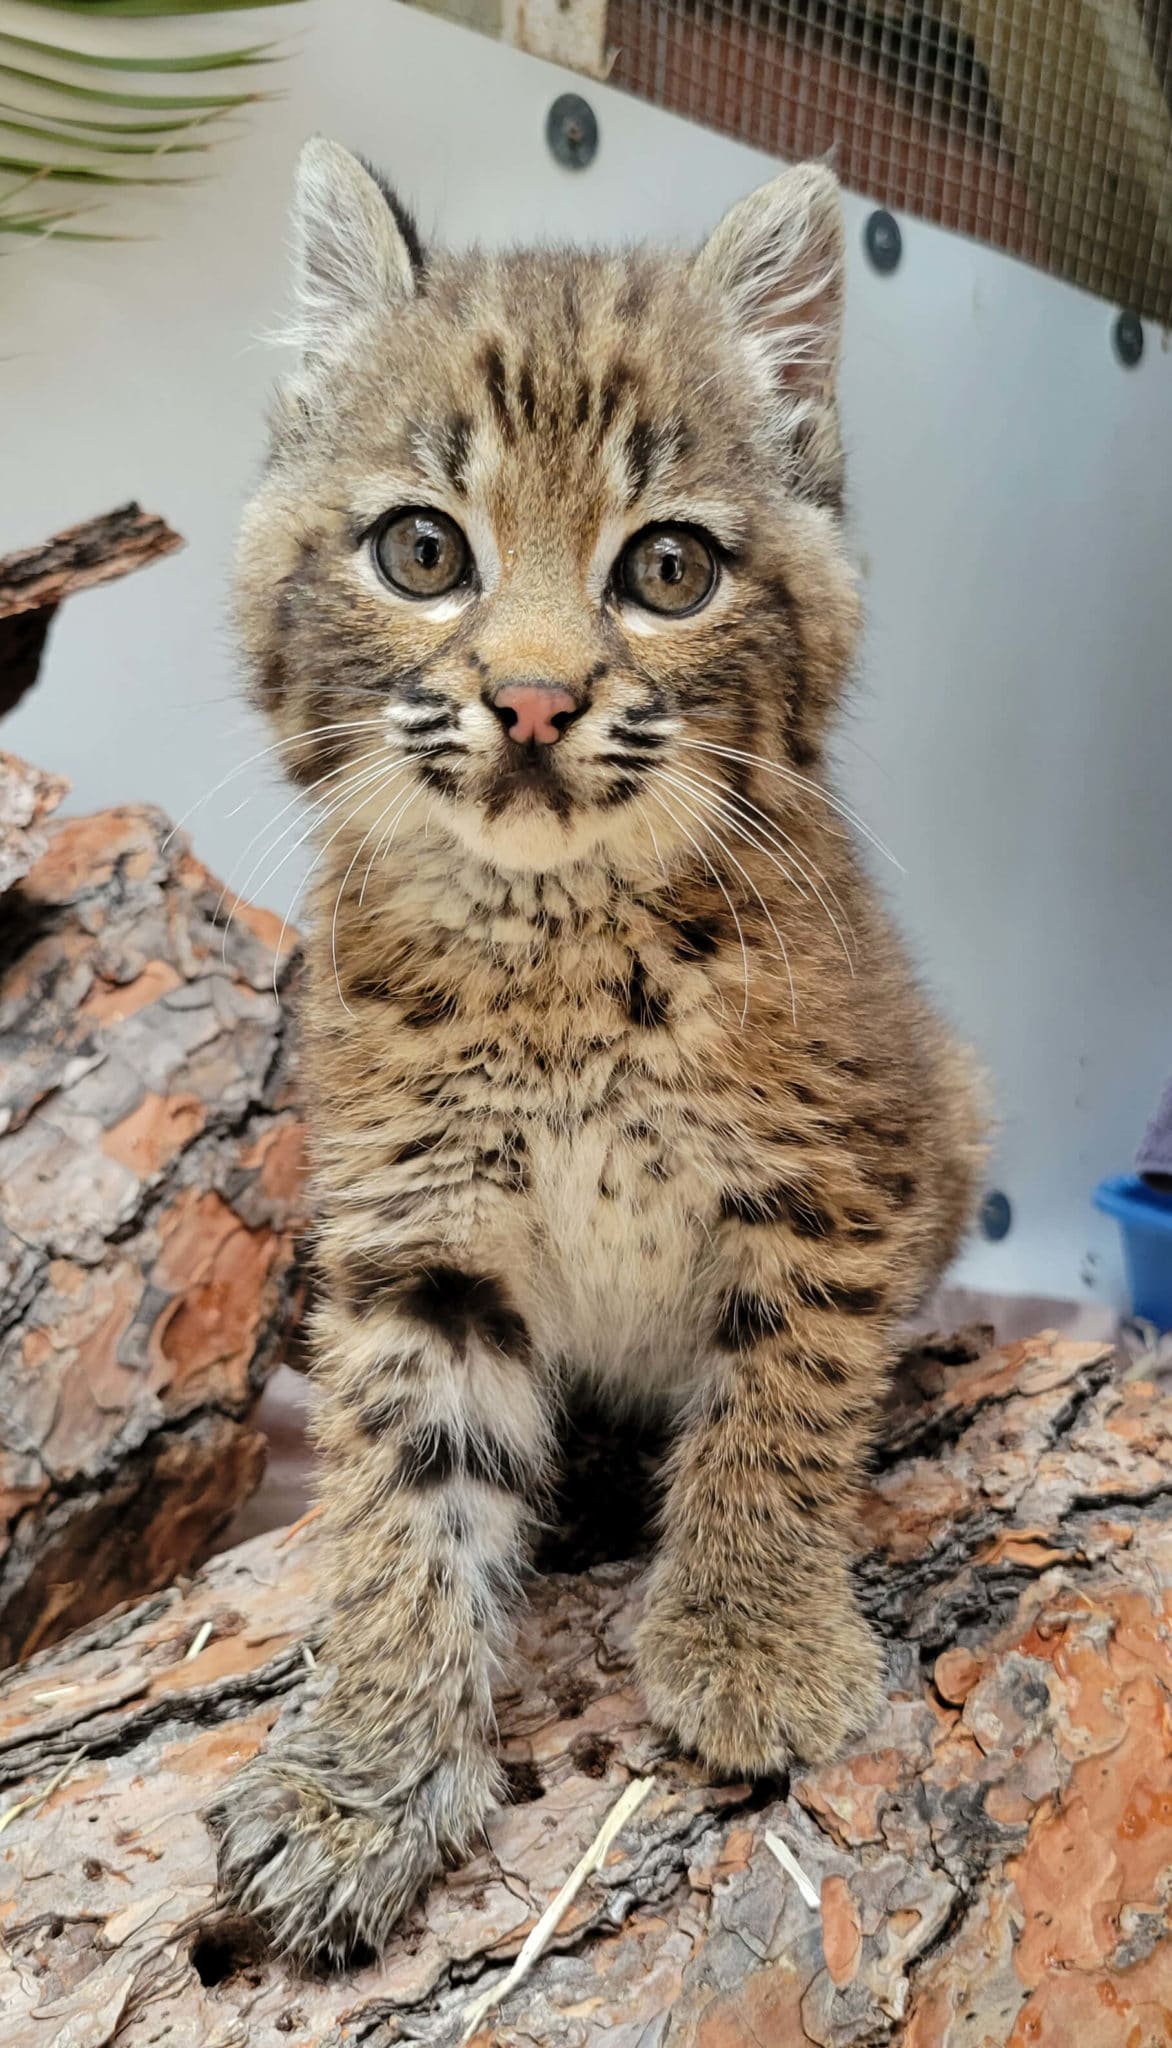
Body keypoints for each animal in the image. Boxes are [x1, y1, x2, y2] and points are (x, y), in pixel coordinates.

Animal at [211, 140, 979, 1966]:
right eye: (423, 551)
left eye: (669, 571)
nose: (539, 701)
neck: (555, 934)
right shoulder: (415, 1234)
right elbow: (398, 1499)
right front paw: (367, 1771)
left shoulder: (835, 1178)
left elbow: (782, 1406)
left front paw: (753, 1640)